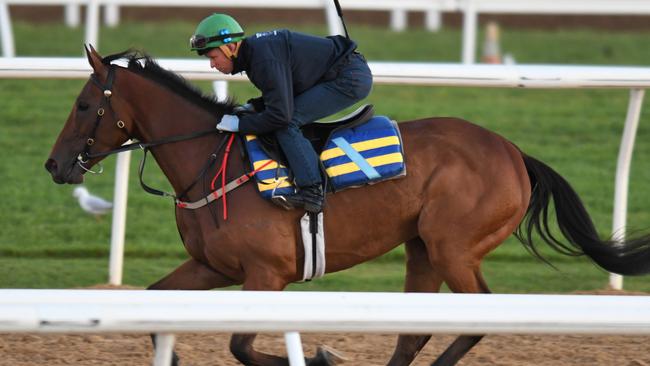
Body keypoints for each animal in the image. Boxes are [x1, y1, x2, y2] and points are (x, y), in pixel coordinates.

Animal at [44, 46, 648, 366]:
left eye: (83, 105)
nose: (54, 165)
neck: (212, 158)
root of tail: (513, 152)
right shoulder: (213, 267)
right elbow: (154, 307)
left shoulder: (267, 275)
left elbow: (241, 344)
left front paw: (321, 355)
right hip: (422, 248)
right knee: (414, 329)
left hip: (454, 247)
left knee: (475, 318)